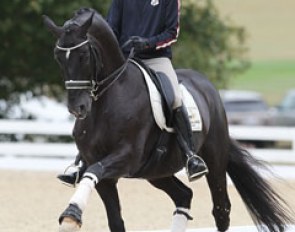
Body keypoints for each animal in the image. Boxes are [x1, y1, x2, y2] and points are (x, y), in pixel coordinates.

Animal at [43, 7, 294, 232]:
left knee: (221, 210)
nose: (77, 108)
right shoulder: (102, 172)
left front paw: (71, 215)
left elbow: (95, 170)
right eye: (58, 57)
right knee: (184, 196)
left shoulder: (127, 156)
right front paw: (71, 217)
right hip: (156, 172)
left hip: (213, 160)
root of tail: (206, 85)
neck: (108, 102)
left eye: (84, 56)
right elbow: (113, 216)